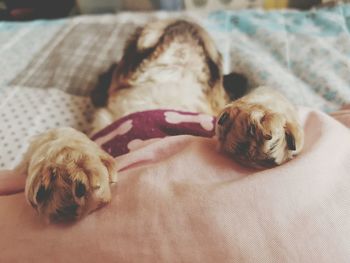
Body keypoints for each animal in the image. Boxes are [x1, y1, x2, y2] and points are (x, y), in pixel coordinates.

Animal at [15, 19, 304, 224]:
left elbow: (269, 92)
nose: (184, 18)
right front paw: (66, 161)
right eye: (131, 43)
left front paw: (257, 112)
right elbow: (57, 133)